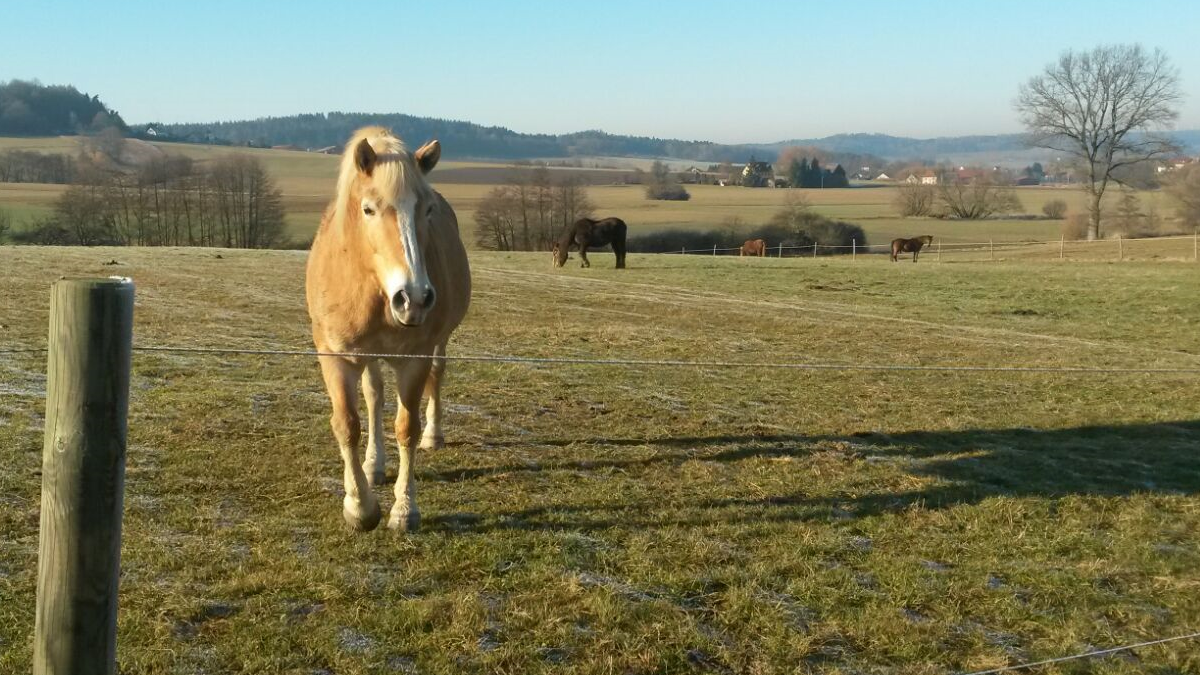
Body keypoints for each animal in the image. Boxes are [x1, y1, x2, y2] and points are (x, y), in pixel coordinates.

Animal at [306, 127, 471, 534]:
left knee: (437, 377)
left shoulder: (413, 360)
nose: (413, 298)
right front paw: (359, 506)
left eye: (427, 210)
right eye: (369, 208)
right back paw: (373, 465)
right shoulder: (336, 357)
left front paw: (404, 510)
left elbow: (406, 428)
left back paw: (434, 435)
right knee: (374, 395)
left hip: (438, 344)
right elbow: (347, 424)